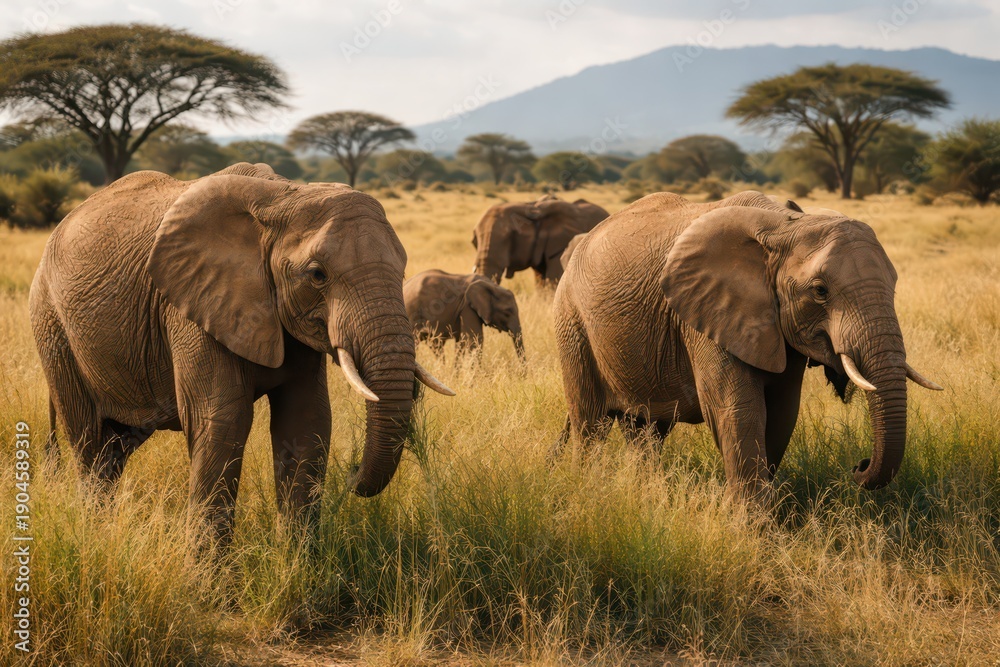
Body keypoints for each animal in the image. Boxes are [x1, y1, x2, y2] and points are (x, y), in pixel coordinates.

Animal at [29, 162, 454, 543]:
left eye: (403, 271)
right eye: (317, 275)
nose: (350, 471)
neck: (284, 197)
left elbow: (307, 421)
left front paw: (299, 564)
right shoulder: (191, 307)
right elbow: (222, 422)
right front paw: (209, 580)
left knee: (116, 447)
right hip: (51, 325)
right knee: (90, 442)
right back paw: (95, 536)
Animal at [553, 190, 942, 493]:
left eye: (894, 285)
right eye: (820, 291)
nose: (858, 466)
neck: (786, 225)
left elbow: (782, 411)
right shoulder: (707, 314)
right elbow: (738, 410)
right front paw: (752, 528)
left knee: (646, 430)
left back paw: (645, 490)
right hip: (571, 322)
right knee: (589, 423)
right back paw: (585, 485)